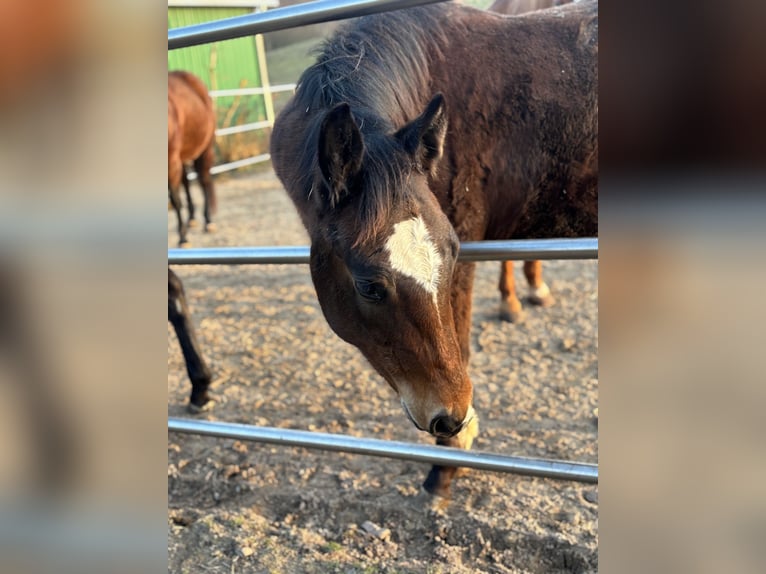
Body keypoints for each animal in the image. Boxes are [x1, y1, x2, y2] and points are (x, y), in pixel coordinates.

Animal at [168, 70, 217, 247]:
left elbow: (175, 199)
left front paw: (183, 238)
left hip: (204, 149)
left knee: (203, 180)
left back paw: (208, 221)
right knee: (186, 181)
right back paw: (191, 218)